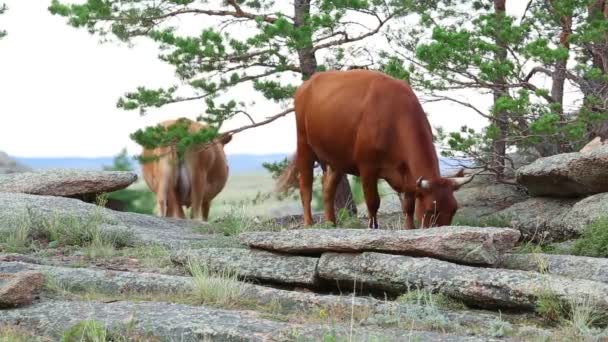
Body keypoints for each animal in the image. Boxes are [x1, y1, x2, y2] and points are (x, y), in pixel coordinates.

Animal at [278, 69, 472, 230]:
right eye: (432, 209)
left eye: (454, 209)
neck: (395, 116)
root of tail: (308, 83)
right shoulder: (367, 167)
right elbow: (373, 202)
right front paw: (373, 227)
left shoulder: (408, 173)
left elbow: (408, 205)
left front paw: (409, 228)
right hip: (304, 145)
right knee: (306, 187)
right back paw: (309, 223)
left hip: (337, 158)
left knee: (328, 189)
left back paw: (331, 224)